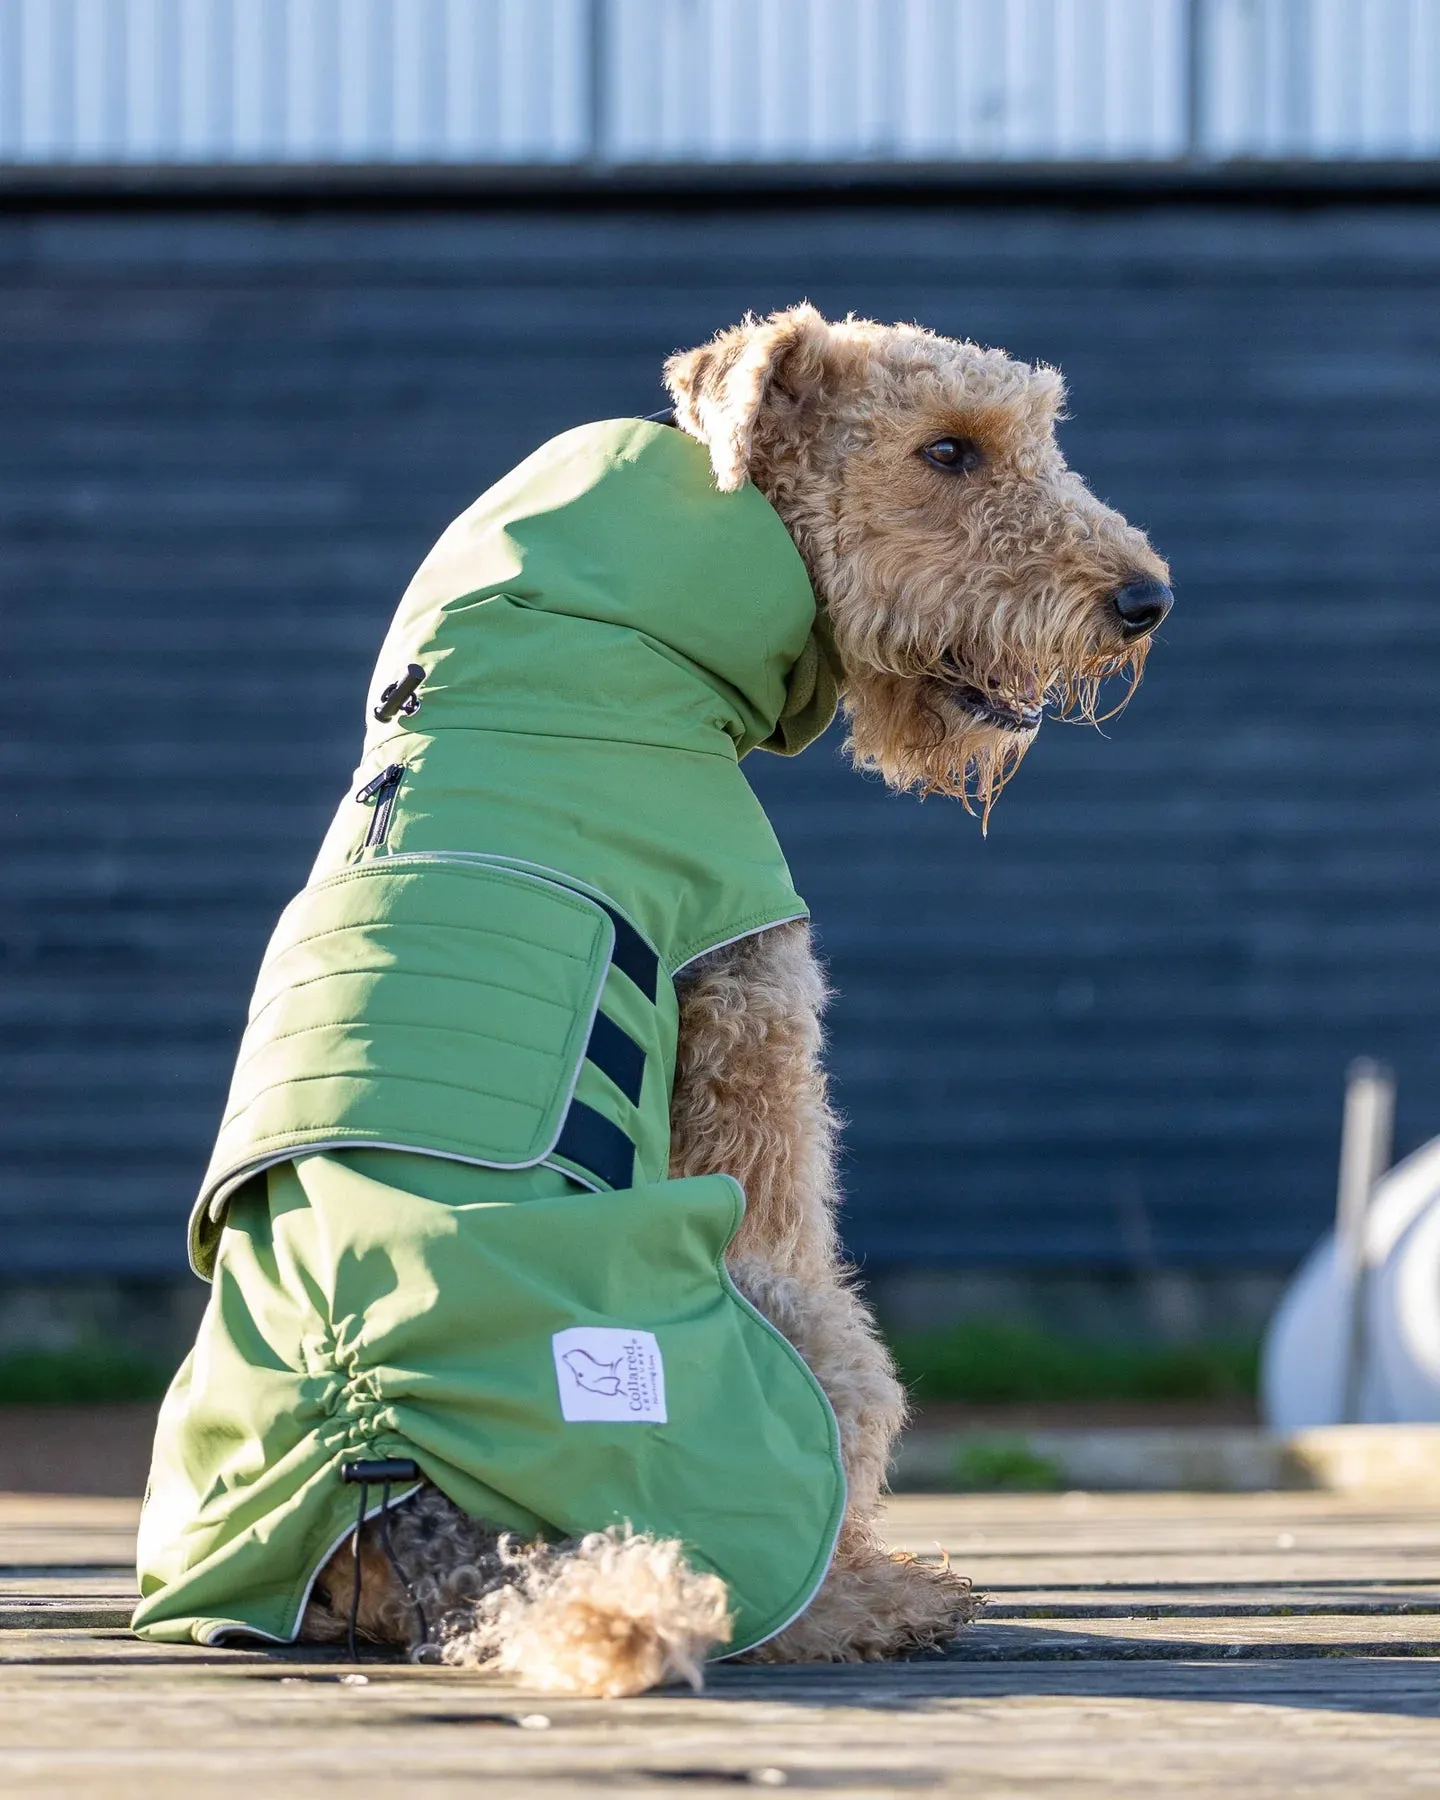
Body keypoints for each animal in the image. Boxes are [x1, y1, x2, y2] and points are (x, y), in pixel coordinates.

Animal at [284, 302, 1166, 1692]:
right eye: (948, 449)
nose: (1146, 600)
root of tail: (412, 1490)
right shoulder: (757, 1025)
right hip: (823, 1335)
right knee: (768, 1575)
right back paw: (885, 1597)